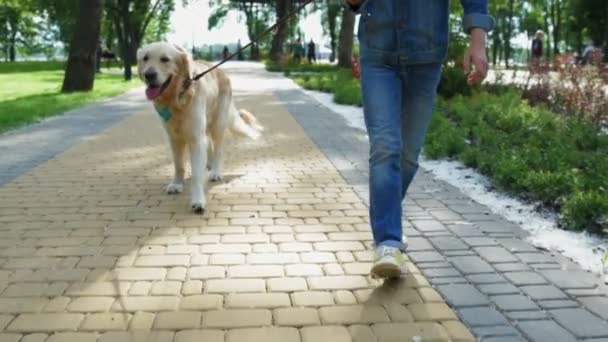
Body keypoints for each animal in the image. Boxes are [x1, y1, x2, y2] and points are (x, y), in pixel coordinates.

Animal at [138, 42, 264, 214]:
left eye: (165, 59)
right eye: (145, 58)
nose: (148, 75)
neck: (177, 99)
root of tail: (221, 71)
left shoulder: (195, 139)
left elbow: (197, 174)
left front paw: (198, 200)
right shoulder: (174, 138)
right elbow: (179, 165)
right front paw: (177, 184)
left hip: (218, 124)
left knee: (218, 150)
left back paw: (215, 171)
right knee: (209, 145)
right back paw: (208, 164)